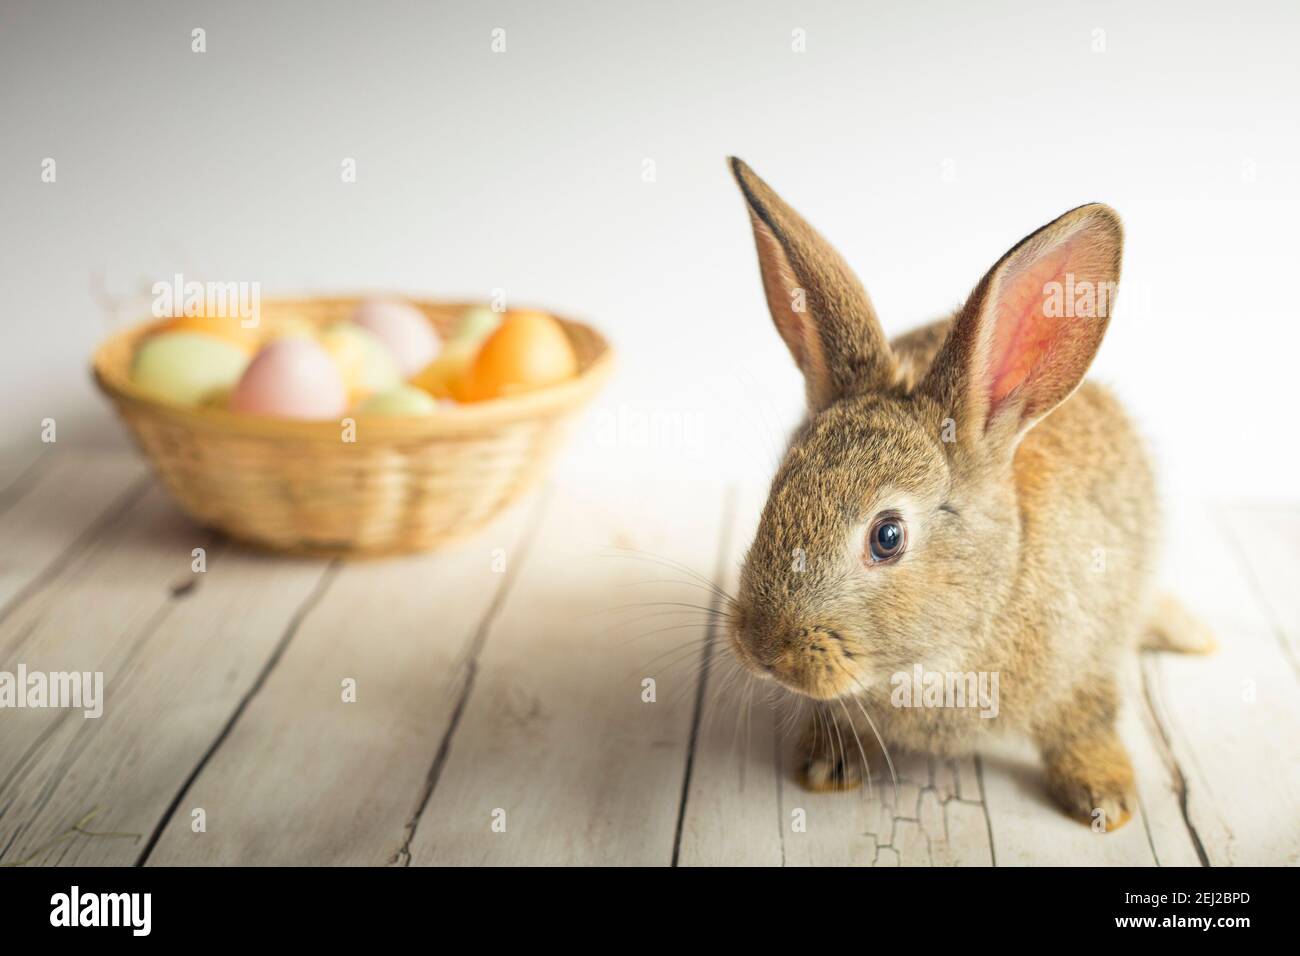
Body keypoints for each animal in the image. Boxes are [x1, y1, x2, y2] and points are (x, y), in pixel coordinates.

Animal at [724, 157, 1214, 831]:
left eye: (887, 536)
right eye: (776, 492)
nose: (764, 647)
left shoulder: (1085, 663)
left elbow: (1086, 723)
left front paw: (1106, 802)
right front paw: (826, 766)